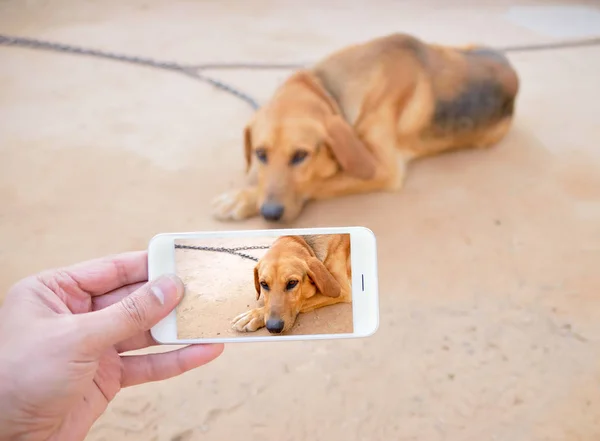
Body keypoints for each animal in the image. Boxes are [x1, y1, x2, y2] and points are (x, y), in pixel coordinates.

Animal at [212, 32, 520, 222]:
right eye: (260, 154)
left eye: (300, 156)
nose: (270, 213)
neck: (328, 90)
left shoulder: (382, 168)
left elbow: (319, 181)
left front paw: (244, 197)